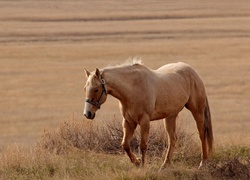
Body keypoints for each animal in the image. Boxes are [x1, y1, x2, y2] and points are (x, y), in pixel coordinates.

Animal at [83, 59, 214, 169]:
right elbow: (125, 144)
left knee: (202, 134)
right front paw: (137, 162)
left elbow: (143, 145)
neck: (133, 88)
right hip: (170, 116)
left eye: (96, 89)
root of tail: (193, 72)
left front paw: (142, 165)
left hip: (197, 111)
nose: (87, 113)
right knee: (172, 138)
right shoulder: (128, 122)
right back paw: (165, 165)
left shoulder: (144, 121)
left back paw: (203, 162)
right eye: (85, 88)